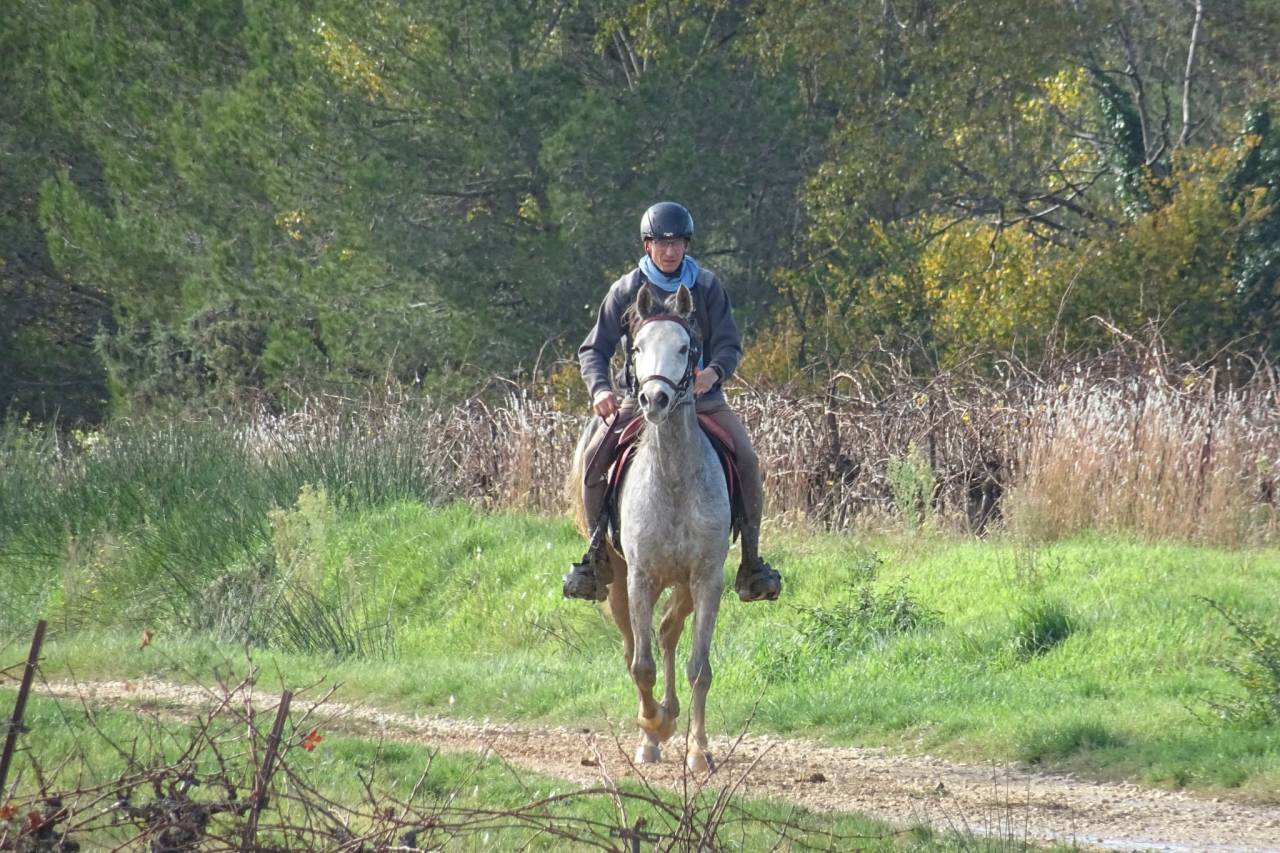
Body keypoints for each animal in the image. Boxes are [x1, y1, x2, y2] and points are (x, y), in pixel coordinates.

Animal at [568, 283, 731, 773]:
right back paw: (655, 725)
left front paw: (698, 750)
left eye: (685, 347)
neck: (674, 479)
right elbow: (641, 666)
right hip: (619, 579)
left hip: (682, 583)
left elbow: (700, 667)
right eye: (637, 347)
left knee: (667, 632)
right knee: (632, 647)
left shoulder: (707, 578)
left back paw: (672, 715)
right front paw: (651, 732)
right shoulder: (639, 578)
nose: (655, 400)